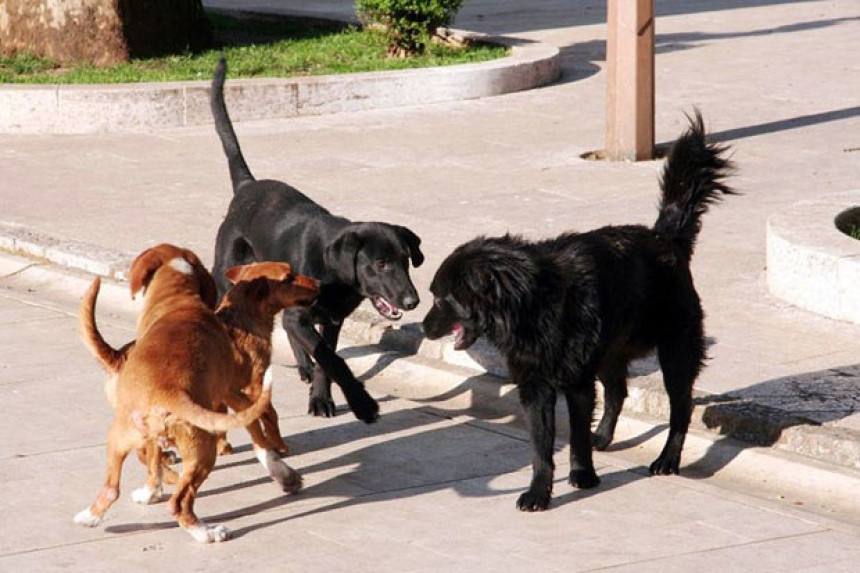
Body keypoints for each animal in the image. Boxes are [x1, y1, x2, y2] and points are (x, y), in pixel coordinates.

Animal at [74, 244, 320, 544]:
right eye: (289, 277)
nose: (318, 283)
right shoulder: (243, 390)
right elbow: (265, 423)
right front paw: (281, 459)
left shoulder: (226, 399)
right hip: (200, 449)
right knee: (178, 501)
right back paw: (207, 531)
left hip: (121, 437)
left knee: (120, 482)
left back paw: (102, 511)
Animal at [208, 58, 424, 422]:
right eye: (380, 263)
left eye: (405, 260)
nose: (412, 302)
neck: (334, 274)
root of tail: (247, 186)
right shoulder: (305, 316)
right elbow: (333, 360)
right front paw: (362, 403)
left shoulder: (332, 320)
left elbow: (327, 359)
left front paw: (321, 398)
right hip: (227, 274)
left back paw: (304, 367)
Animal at [422, 110, 732, 510]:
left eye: (440, 299)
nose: (423, 327)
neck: (529, 303)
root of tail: (665, 238)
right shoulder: (535, 386)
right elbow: (541, 446)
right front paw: (539, 491)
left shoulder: (576, 380)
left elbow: (577, 434)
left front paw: (583, 475)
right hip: (611, 351)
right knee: (617, 391)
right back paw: (605, 436)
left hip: (676, 350)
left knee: (681, 407)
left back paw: (667, 459)